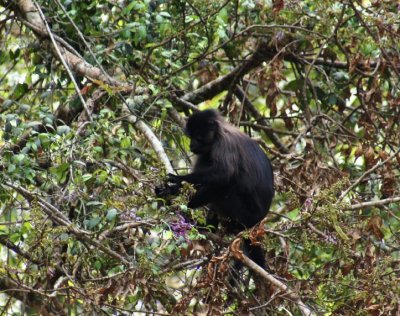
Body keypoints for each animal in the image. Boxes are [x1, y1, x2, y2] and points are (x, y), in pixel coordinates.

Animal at [167, 109, 274, 270]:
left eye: (198, 136)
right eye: (190, 137)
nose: (191, 145)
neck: (219, 131)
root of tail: (257, 222)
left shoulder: (224, 142)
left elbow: (224, 175)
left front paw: (178, 182)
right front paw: (169, 192)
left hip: (247, 214)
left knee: (228, 186)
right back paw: (208, 228)